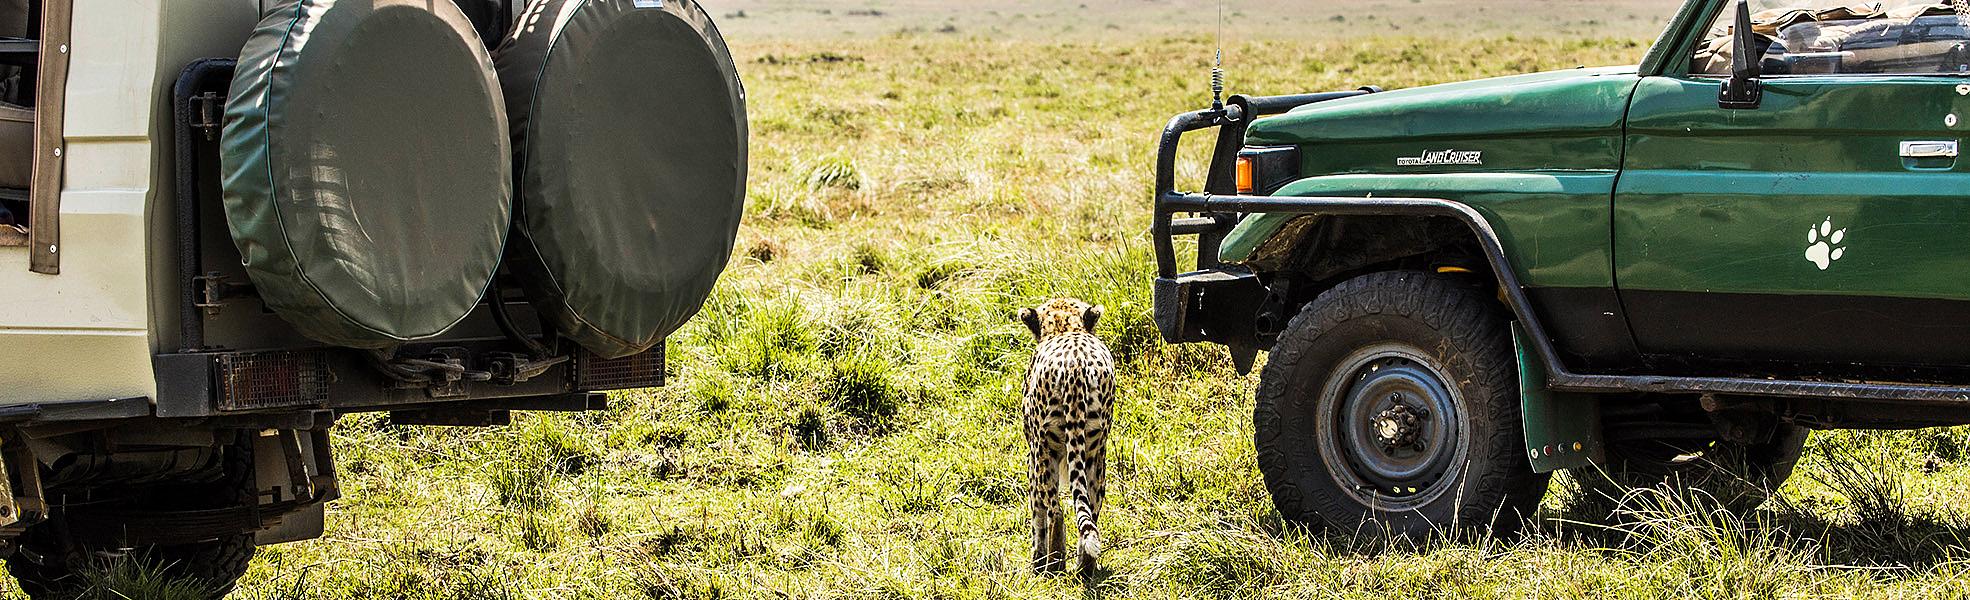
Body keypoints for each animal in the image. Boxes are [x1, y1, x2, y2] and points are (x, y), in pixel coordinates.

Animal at [1024, 297, 1118, 570]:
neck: (1066, 328)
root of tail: (1075, 367)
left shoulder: (1033, 454)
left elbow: (1037, 510)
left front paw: (1037, 557)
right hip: (1095, 451)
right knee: (1092, 510)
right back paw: (1084, 568)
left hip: (1045, 451)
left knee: (1055, 509)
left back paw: (1052, 563)